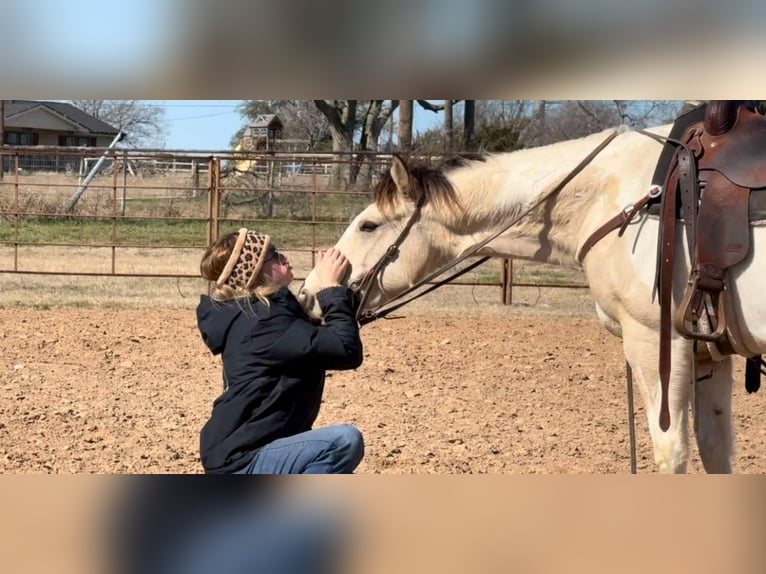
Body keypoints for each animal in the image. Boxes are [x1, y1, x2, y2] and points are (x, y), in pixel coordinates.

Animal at [298, 110, 766, 474]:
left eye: (368, 225)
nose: (308, 293)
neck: (614, 196)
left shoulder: (656, 340)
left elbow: (672, 453)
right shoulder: (708, 350)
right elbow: (715, 450)